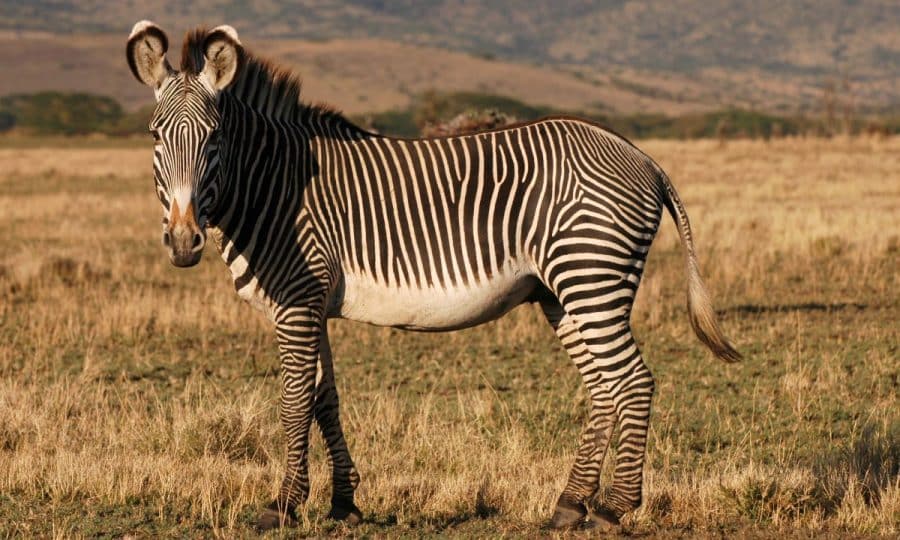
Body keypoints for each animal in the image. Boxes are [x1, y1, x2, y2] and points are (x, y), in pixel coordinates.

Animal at [125, 21, 740, 531]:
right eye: (155, 136)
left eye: (214, 139)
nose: (183, 242)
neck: (271, 184)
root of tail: (642, 156)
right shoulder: (314, 304)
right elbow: (326, 399)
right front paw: (344, 502)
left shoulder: (296, 301)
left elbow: (294, 401)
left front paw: (282, 506)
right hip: (563, 292)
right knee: (605, 387)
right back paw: (569, 506)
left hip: (590, 276)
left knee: (633, 381)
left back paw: (614, 508)